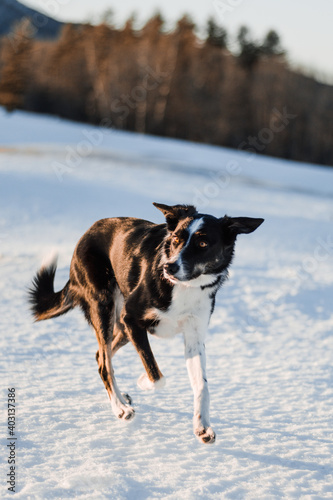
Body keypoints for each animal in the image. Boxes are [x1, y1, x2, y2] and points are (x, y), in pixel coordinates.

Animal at [31, 203, 264, 446]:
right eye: (175, 239)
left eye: (203, 243)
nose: (170, 267)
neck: (185, 287)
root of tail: (87, 232)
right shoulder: (132, 319)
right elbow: (156, 374)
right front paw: (143, 381)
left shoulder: (194, 336)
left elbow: (202, 385)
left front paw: (202, 427)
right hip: (104, 306)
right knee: (105, 363)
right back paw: (120, 409)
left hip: (121, 328)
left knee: (100, 356)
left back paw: (121, 397)